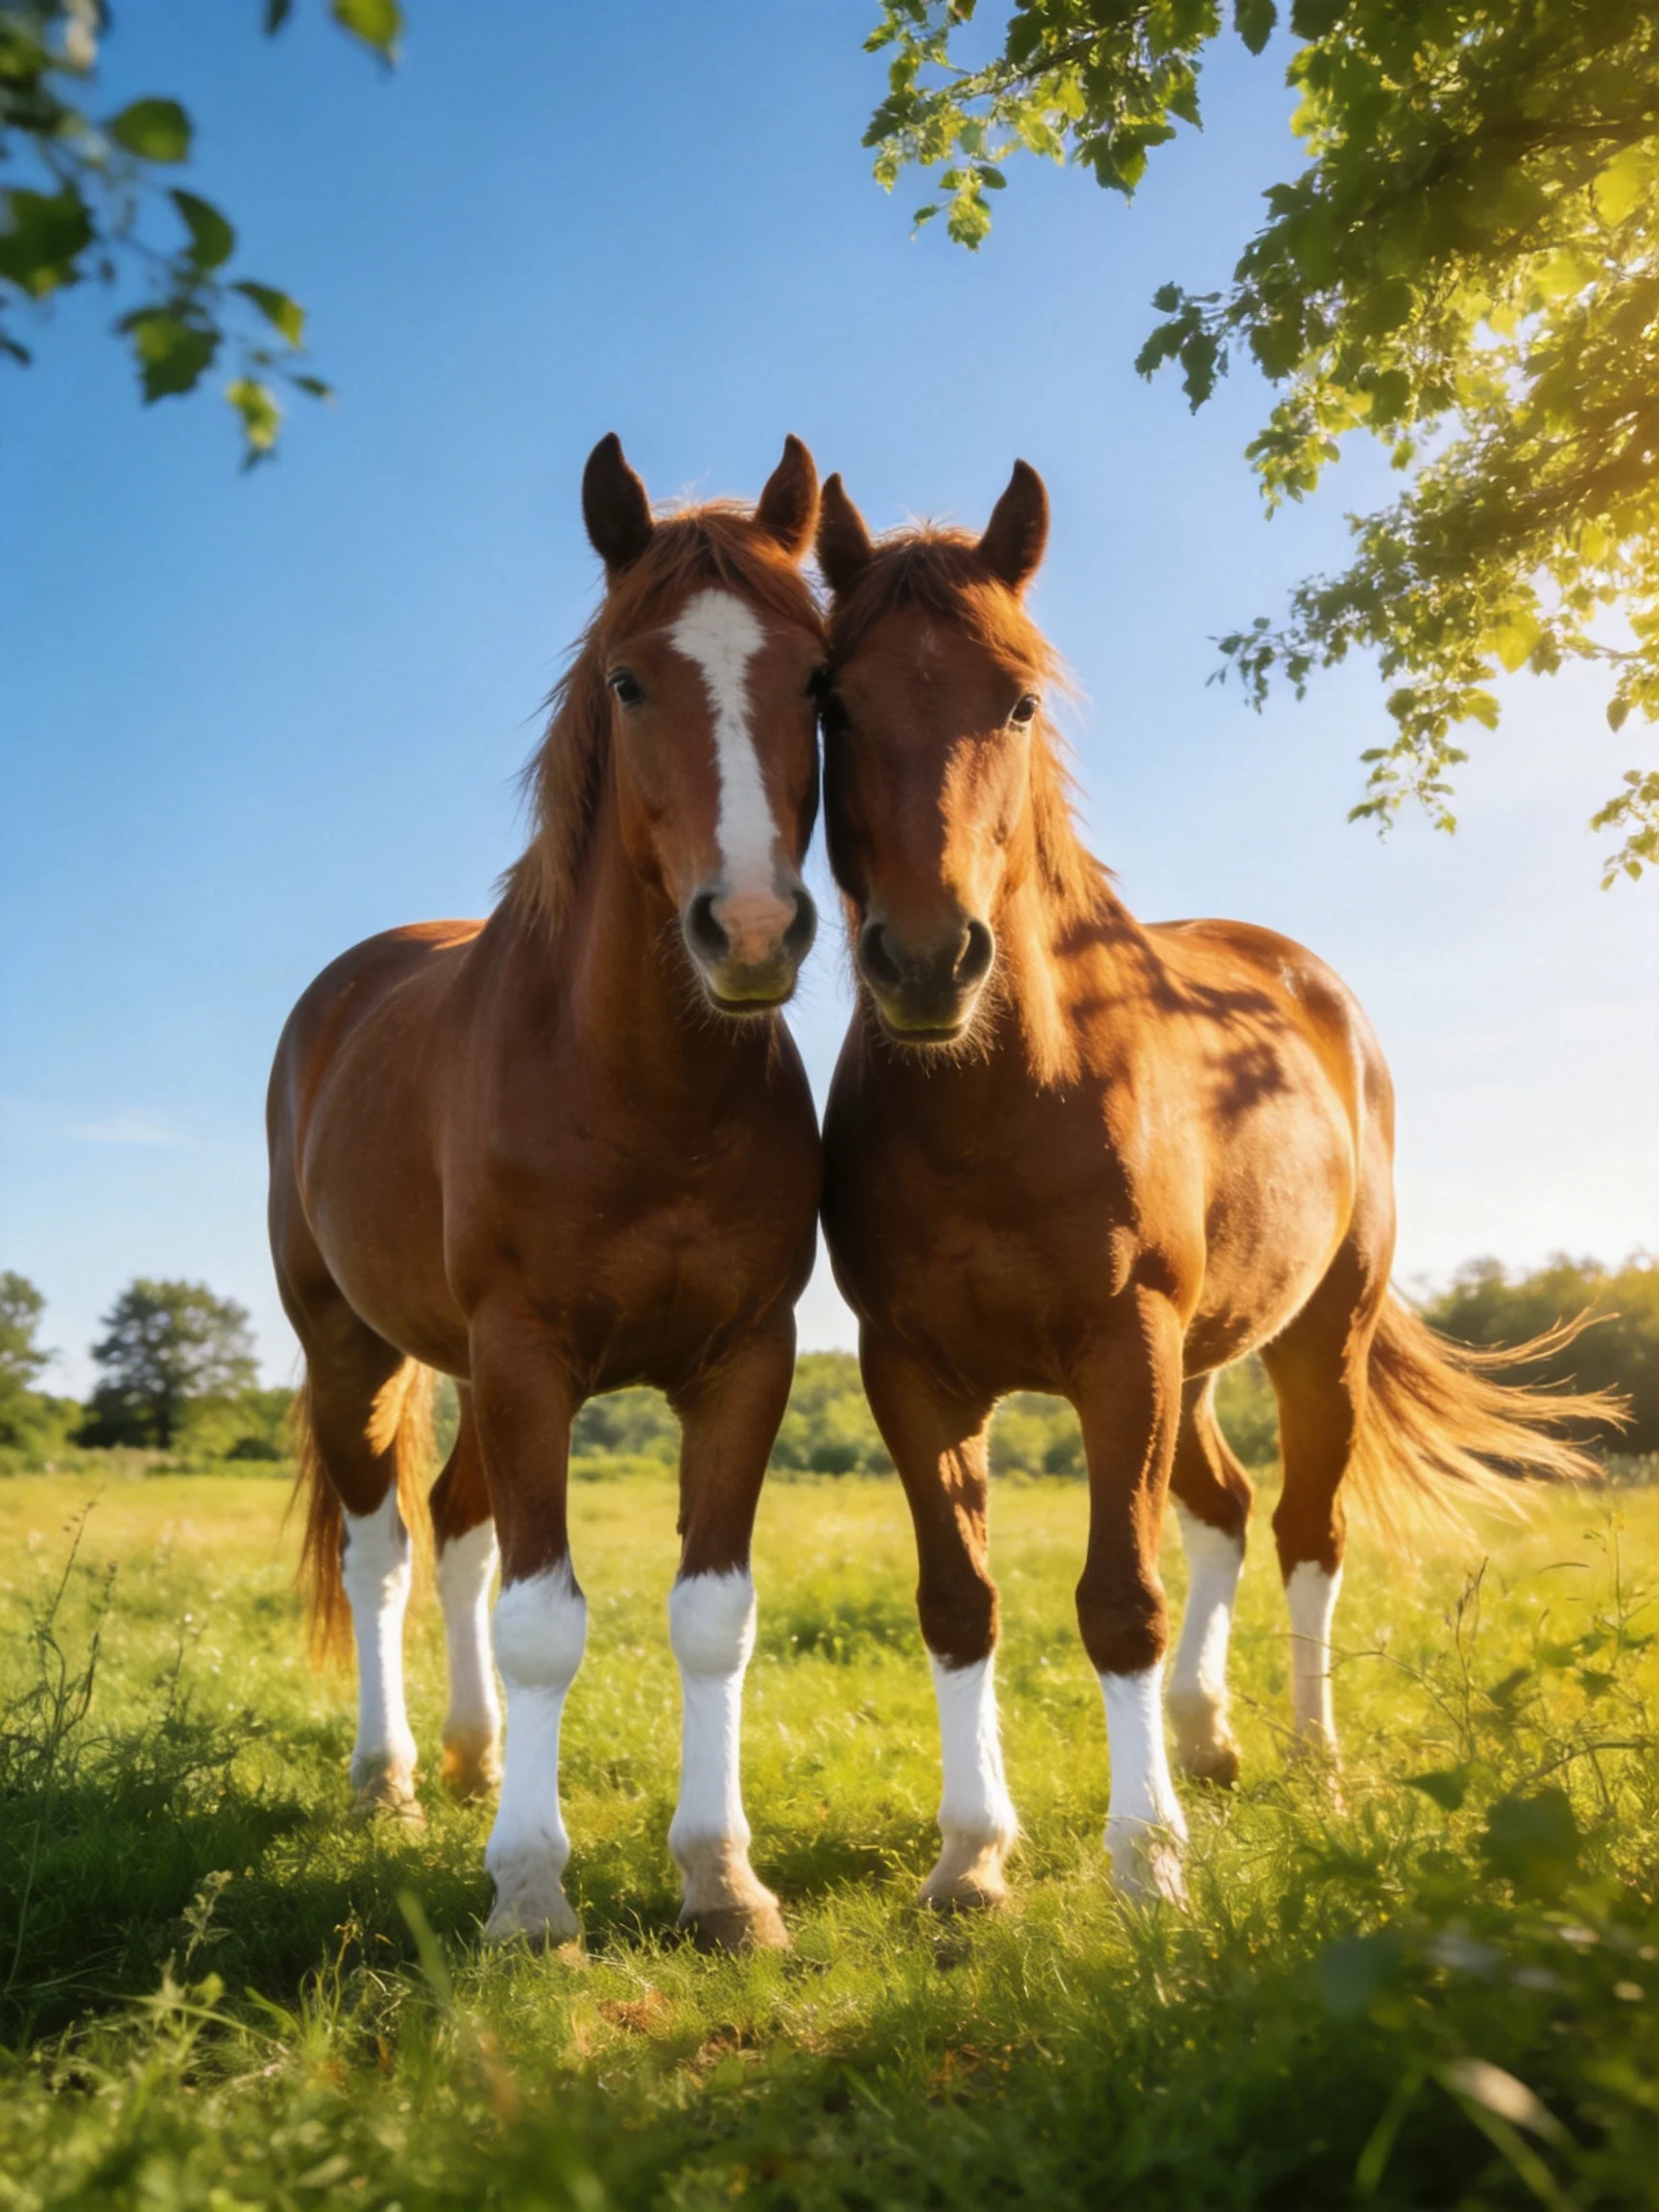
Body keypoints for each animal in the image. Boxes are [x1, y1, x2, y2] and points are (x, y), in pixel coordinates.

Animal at [267, 434, 827, 1951]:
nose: (751, 928)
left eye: (819, 678)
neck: (639, 1091)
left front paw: (723, 1881)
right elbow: (542, 1621)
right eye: (629, 681)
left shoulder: (745, 1361)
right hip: (351, 1347)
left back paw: (474, 1759)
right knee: (387, 1552)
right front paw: (529, 1892)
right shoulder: (525, 1353)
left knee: (459, 1532)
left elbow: (710, 1615)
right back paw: (392, 1780)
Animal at [812, 461, 1606, 1906]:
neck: (1000, 1097)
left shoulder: (1122, 1349)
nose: (929, 961)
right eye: (832, 701)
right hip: (1193, 1368)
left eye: (1017, 699)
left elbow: (1120, 1599)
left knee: (1305, 1533)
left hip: (1311, 1342)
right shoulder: (914, 1372)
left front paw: (1146, 1861)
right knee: (1228, 1511)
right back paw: (1204, 1738)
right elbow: (959, 1602)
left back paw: (1311, 1764)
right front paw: (971, 1856)